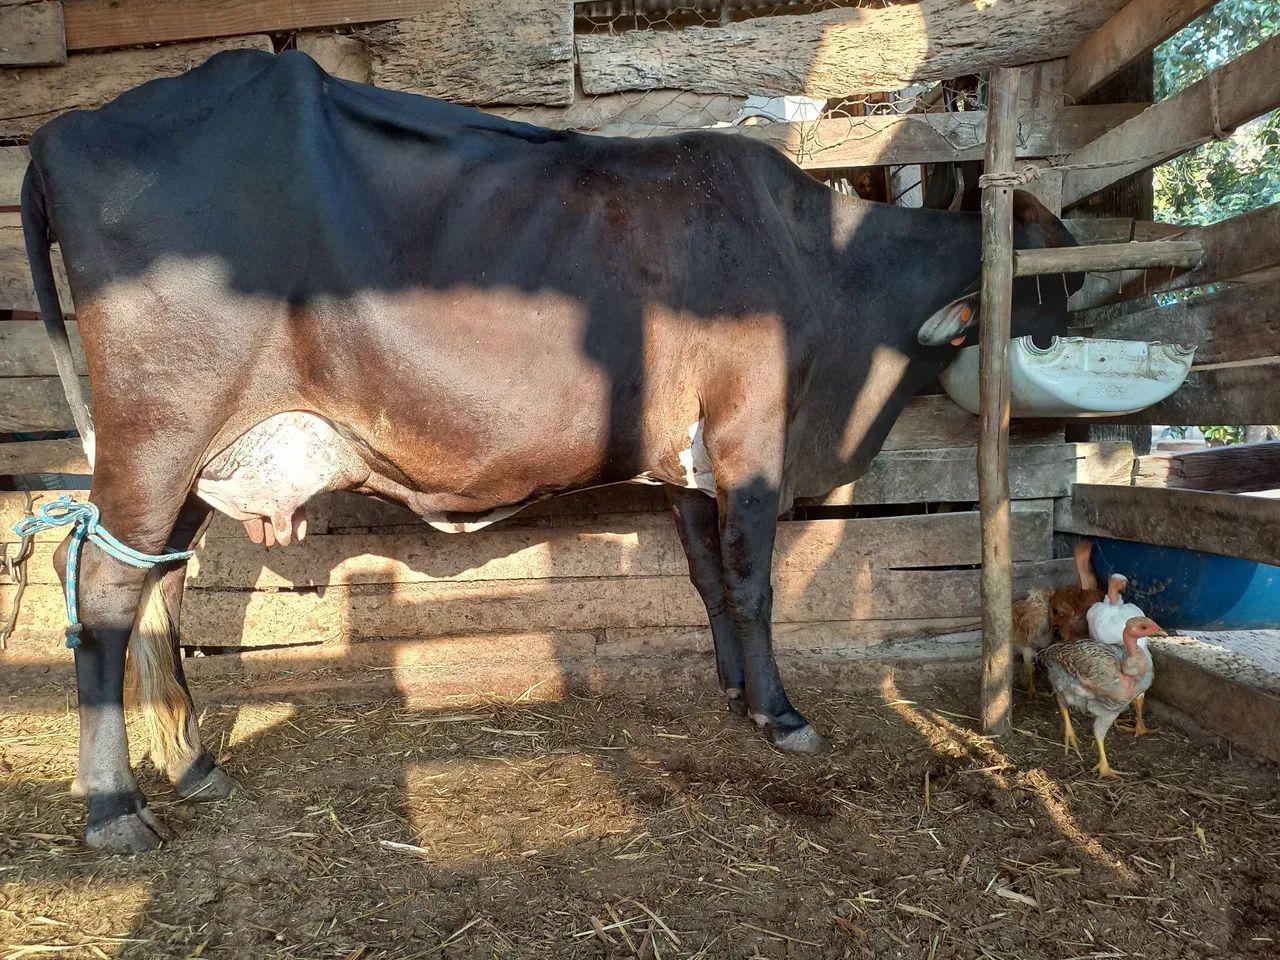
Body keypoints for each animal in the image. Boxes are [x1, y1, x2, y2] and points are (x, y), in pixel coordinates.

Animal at [21, 49, 1082, 852]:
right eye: (1054, 267)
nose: (1077, 329)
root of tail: (63, 131)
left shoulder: (686, 461)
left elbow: (706, 577)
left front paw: (735, 691)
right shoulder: (750, 436)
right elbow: (752, 580)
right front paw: (781, 713)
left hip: (198, 460)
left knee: (158, 584)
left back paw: (195, 765)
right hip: (159, 430)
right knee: (106, 593)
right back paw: (116, 810)